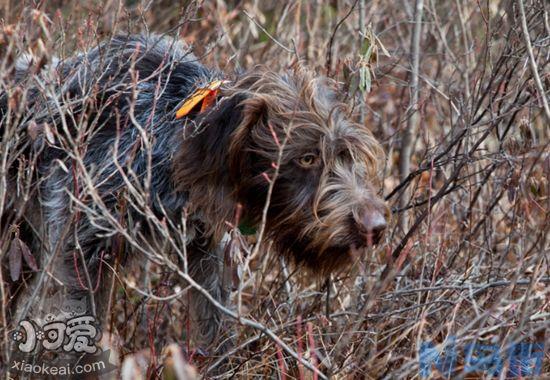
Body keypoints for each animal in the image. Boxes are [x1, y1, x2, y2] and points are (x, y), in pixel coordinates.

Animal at [1, 35, 388, 348]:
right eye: (306, 158)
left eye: (348, 155)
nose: (376, 227)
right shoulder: (81, 253)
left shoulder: (208, 251)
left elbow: (216, 326)